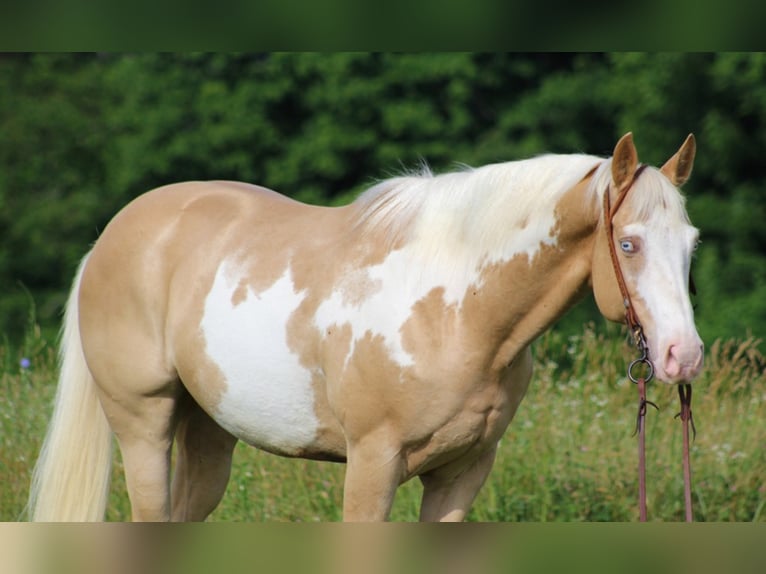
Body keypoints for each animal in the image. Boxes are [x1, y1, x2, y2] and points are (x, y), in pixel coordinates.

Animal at [28, 133, 704, 524]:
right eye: (628, 243)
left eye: (691, 242)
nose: (683, 356)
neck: (456, 309)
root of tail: (110, 239)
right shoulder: (372, 464)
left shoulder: (463, 473)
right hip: (144, 424)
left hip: (209, 432)